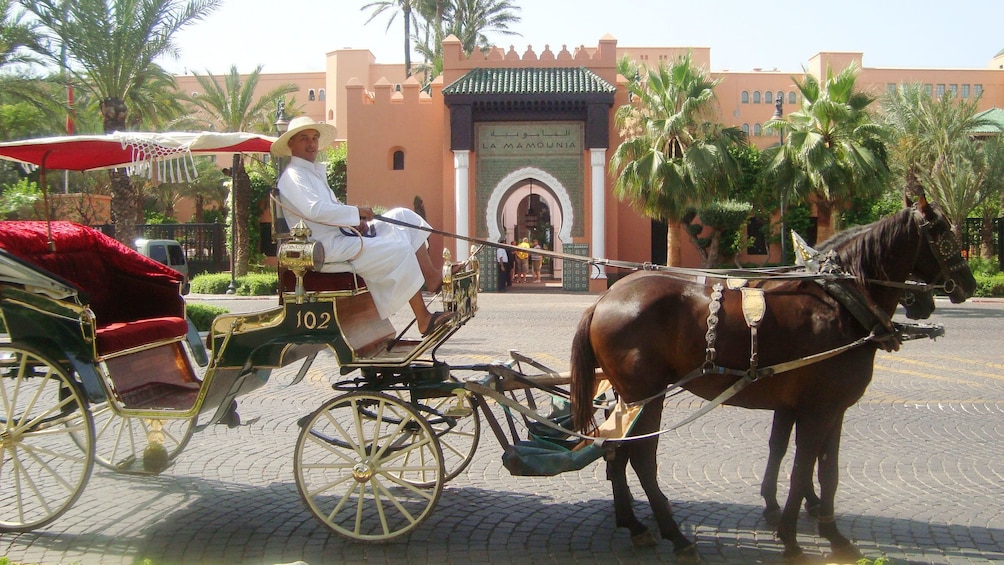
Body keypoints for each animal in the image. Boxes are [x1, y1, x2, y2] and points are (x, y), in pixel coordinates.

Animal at [574, 197, 971, 561]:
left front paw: (823, 529)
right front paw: (794, 537)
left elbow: (818, 466)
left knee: (616, 449)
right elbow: (803, 467)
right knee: (640, 456)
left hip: (629, 398)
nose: (968, 282)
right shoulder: (819, 408)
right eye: (941, 231)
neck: (840, 302)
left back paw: (635, 524)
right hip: (647, 394)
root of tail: (606, 298)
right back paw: (676, 534)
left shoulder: (821, 407)